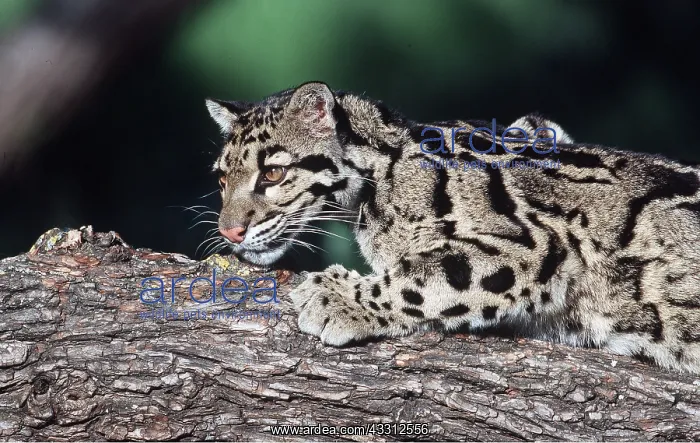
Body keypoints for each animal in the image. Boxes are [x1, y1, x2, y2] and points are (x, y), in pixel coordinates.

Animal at [205, 81, 700, 374]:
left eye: (273, 174)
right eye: (222, 179)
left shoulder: (538, 243)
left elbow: (423, 278)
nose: (228, 233)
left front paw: (337, 297)